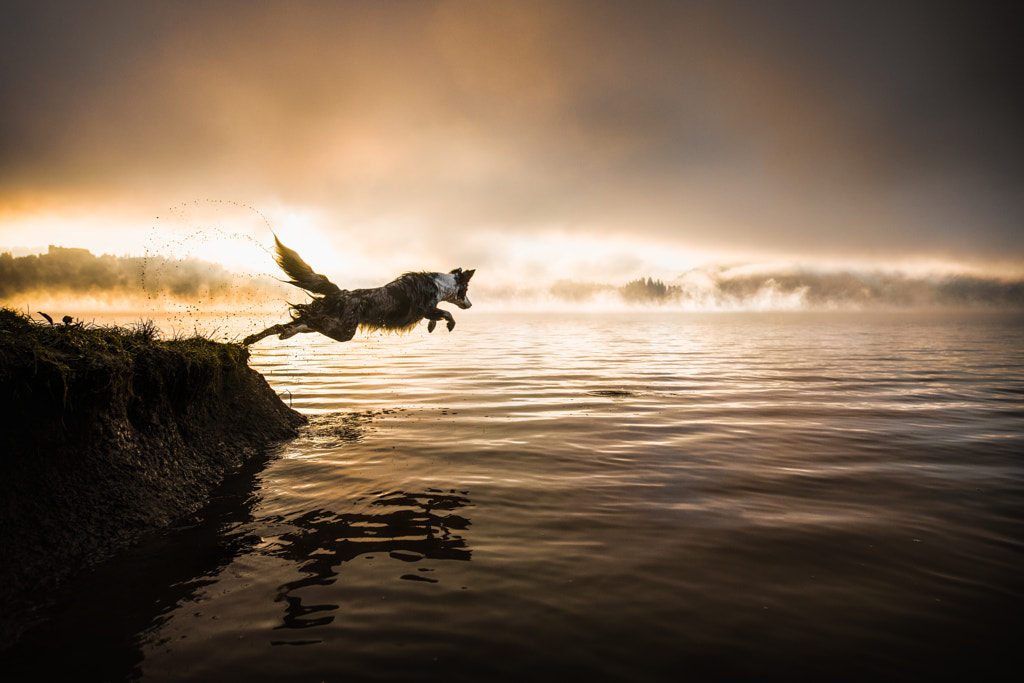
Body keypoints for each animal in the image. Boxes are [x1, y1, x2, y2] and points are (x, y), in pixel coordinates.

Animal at [243, 239, 475, 348]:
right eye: (466, 290)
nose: (471, 305)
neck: (440, 285)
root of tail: (340, 293)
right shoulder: (425, 308)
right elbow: (447, 313)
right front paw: (448, 324)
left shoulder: (427, 310)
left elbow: (437, 315)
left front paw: (431, 326)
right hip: (343, 330)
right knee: (305, 321)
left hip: (332, 323)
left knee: (287, 324)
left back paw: (251, 339)